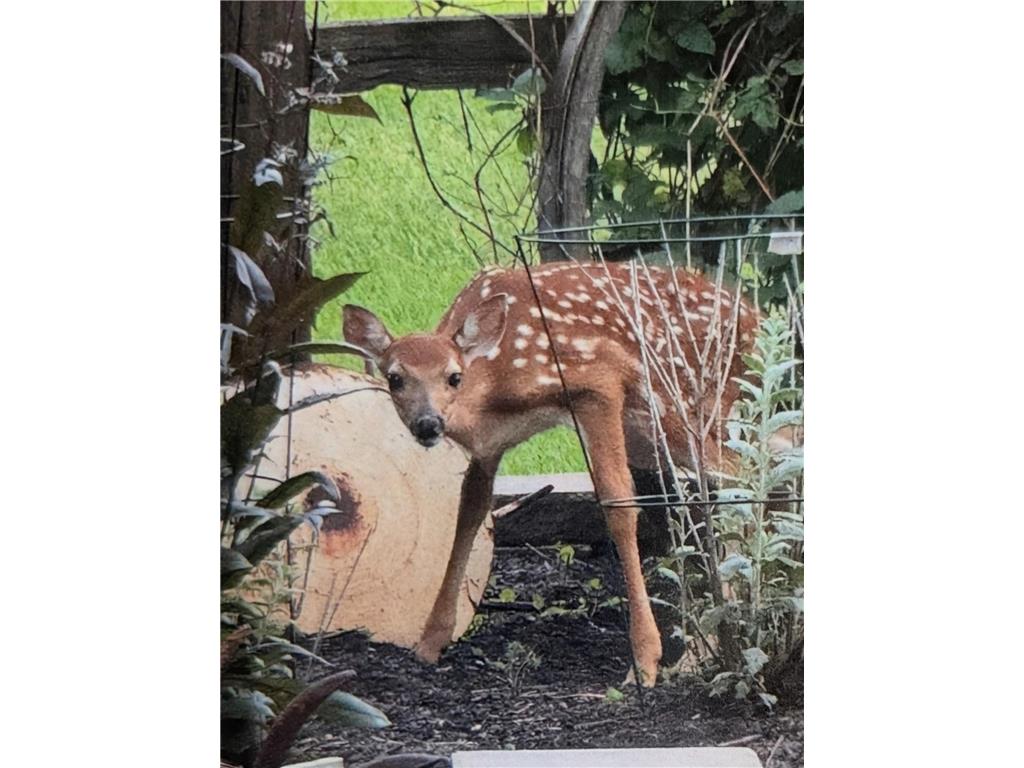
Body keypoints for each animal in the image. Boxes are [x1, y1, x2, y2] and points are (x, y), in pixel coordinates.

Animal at [342, 259, 760, 686]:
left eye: (453, 376)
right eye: (395, 378)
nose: (428, 424)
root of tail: (754, 316)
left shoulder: (598, 383)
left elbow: (619, 506)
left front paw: (644, 660)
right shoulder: (490, 447)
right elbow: (469, 513)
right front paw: (430, 641)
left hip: (690, 408)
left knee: (742, 477)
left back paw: (702, 651)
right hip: (658, 433)